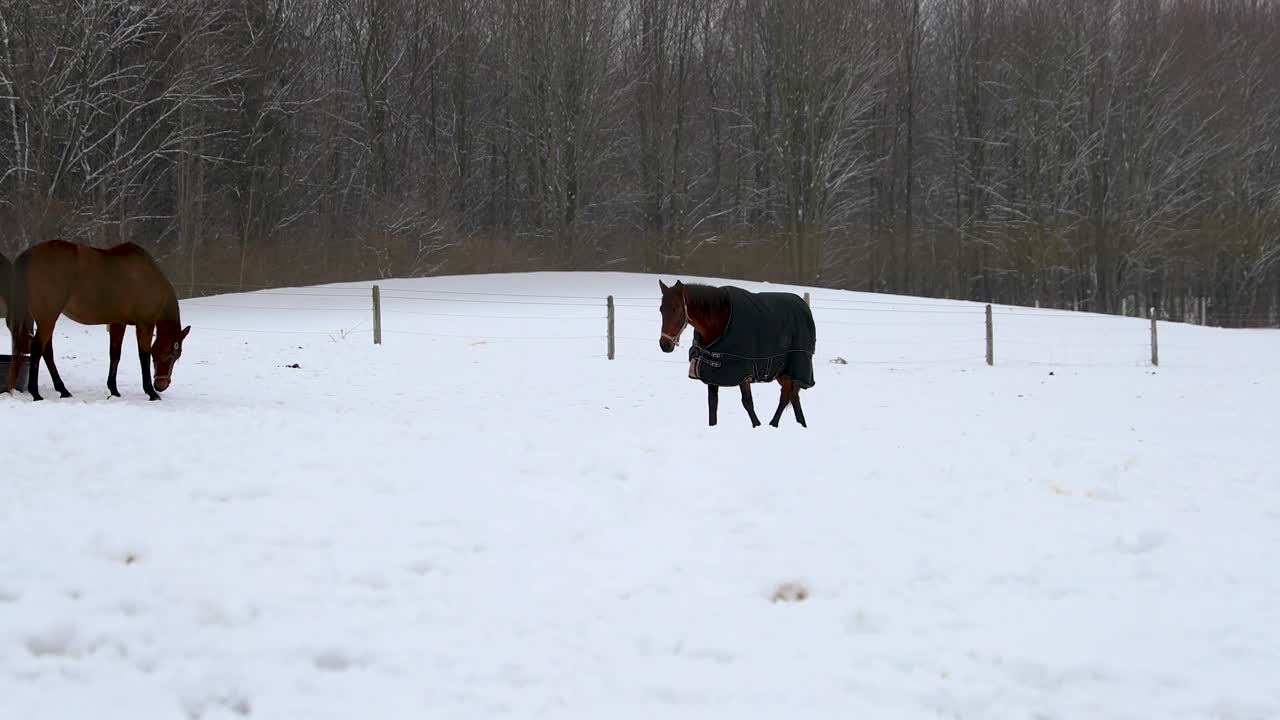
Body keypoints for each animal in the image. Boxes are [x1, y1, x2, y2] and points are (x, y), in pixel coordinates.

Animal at [6, 239, 190, 401]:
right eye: (174, 354)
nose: (162, 385)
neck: (147, 277)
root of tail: (30, 254)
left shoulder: (118, 323)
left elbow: (115, 354)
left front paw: (114, 390)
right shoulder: (145, 325)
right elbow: (143, 357)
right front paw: (151, 392)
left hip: (46, 318)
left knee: (47, 352)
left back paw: (63, 390)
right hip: (48, 316)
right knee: (38, 349)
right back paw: (36, 393)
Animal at [658, 279, 816, 428]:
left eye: (676, 309)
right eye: (661, 310)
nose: (664, 345)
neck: (719, 323)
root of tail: (803, 306)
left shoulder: (743, 373)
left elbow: (747, 402)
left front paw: (757, 425)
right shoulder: (713, 374)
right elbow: (712, 404)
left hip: (791, 368)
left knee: (786, 395)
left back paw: (775, 424)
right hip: (783, 371)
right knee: (792, 396)